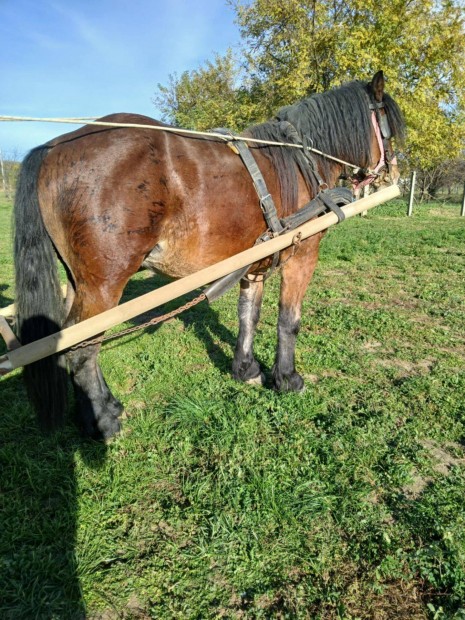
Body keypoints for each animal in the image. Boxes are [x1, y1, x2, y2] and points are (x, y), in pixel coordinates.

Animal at [13, 72, 402, 438]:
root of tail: (51, 147)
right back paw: (104, 422)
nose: (394, 170)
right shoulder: (301, 255)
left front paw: (246, 370)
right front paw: (288, 379)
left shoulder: (254, 262)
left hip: (79, 281)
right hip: (104, 283)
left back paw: (99, 410)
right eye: (389, 126)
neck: (299, 160)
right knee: (82, 347)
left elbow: (249, 315)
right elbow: (288, 321)